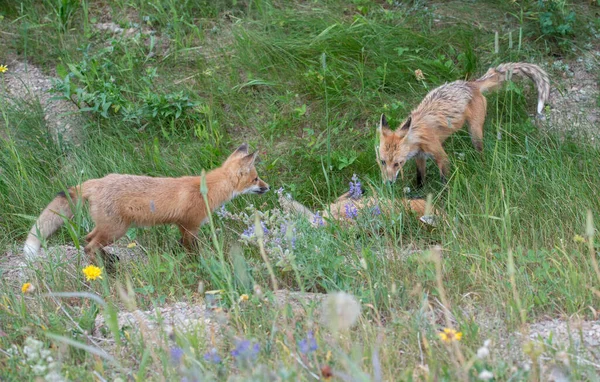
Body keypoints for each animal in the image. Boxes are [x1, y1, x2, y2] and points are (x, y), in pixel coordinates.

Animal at [22, 143, 268, 266]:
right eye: (256, 179)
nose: (268, 187)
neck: (207, 189)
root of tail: (97, 181)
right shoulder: (190, 225)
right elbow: (192, 250)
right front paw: (196, 264)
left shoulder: (181, 226)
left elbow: (181, 246)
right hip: (117, 229)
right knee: (89, 246)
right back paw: (107, 269)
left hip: (108, 228)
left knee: (87, 240)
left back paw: (109, 261)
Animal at [378, 62, 552, 185]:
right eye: (383, 161)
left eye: (397, 164)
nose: (388, 183)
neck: (417, 135)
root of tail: (471, 83)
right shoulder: (420, 157)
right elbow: (420, 179)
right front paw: (417, 193)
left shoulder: (440, 155)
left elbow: (444, 181)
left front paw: (444, 199)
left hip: (475, 132)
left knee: (481, 151)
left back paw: (482, 167)